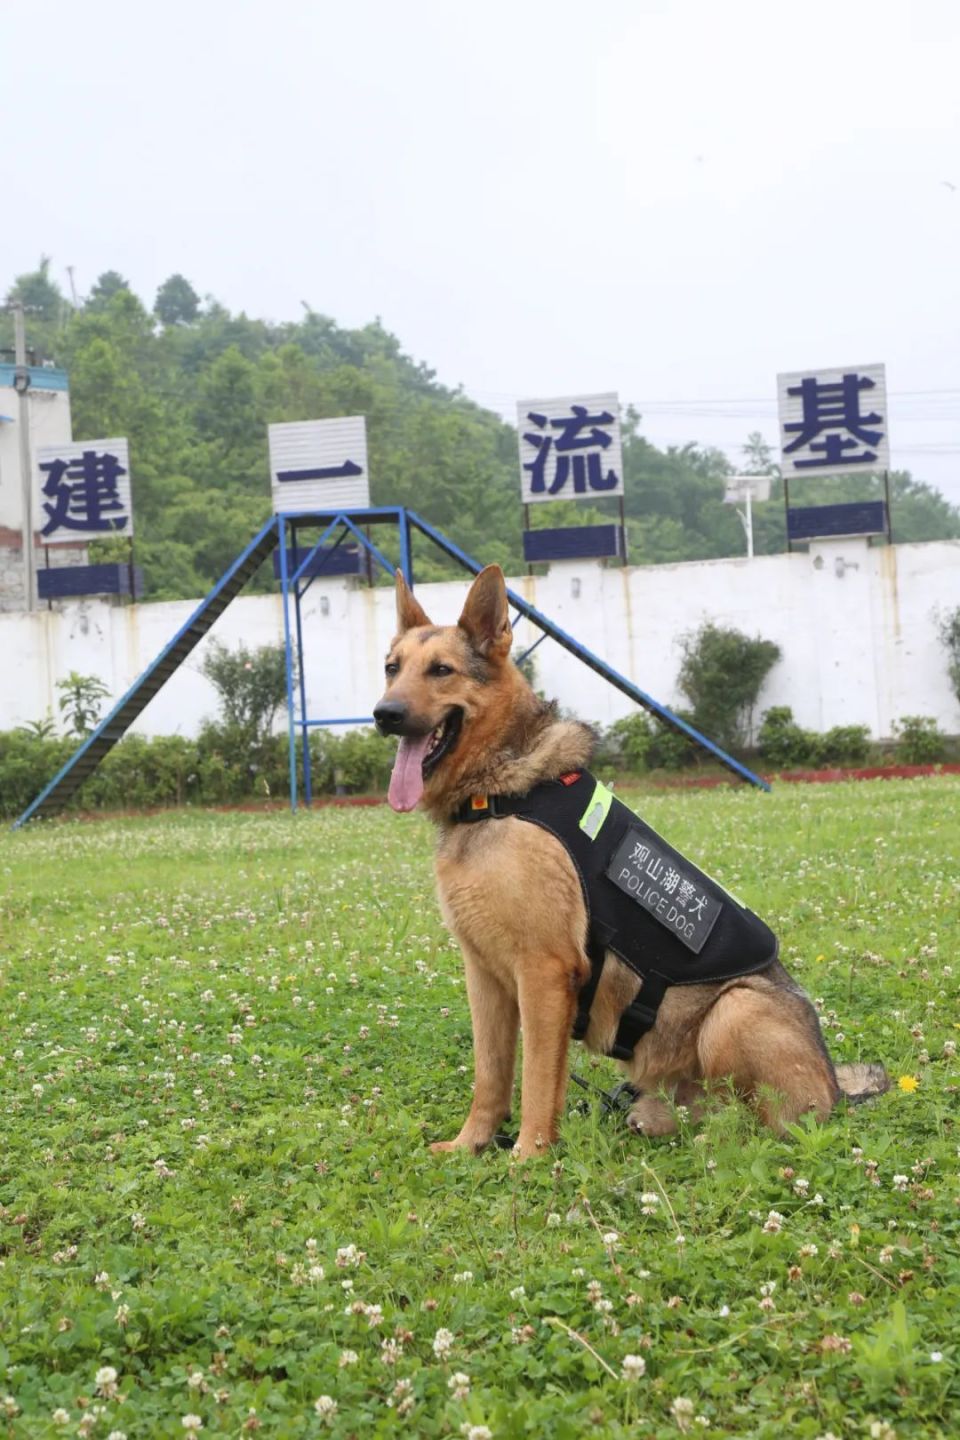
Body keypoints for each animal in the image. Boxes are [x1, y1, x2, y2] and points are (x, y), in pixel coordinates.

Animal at [374, 561, 886, 1157]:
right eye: (391, 669)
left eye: (442, 670)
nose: (384, 714)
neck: (496, 794)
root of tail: (836, 1090)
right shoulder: (486, 978)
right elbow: (490, 1076)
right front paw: (471, 1146)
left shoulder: (545, 973)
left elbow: (536, 1080)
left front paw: (529, 1155)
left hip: (735, 1010)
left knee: (761, 1125)